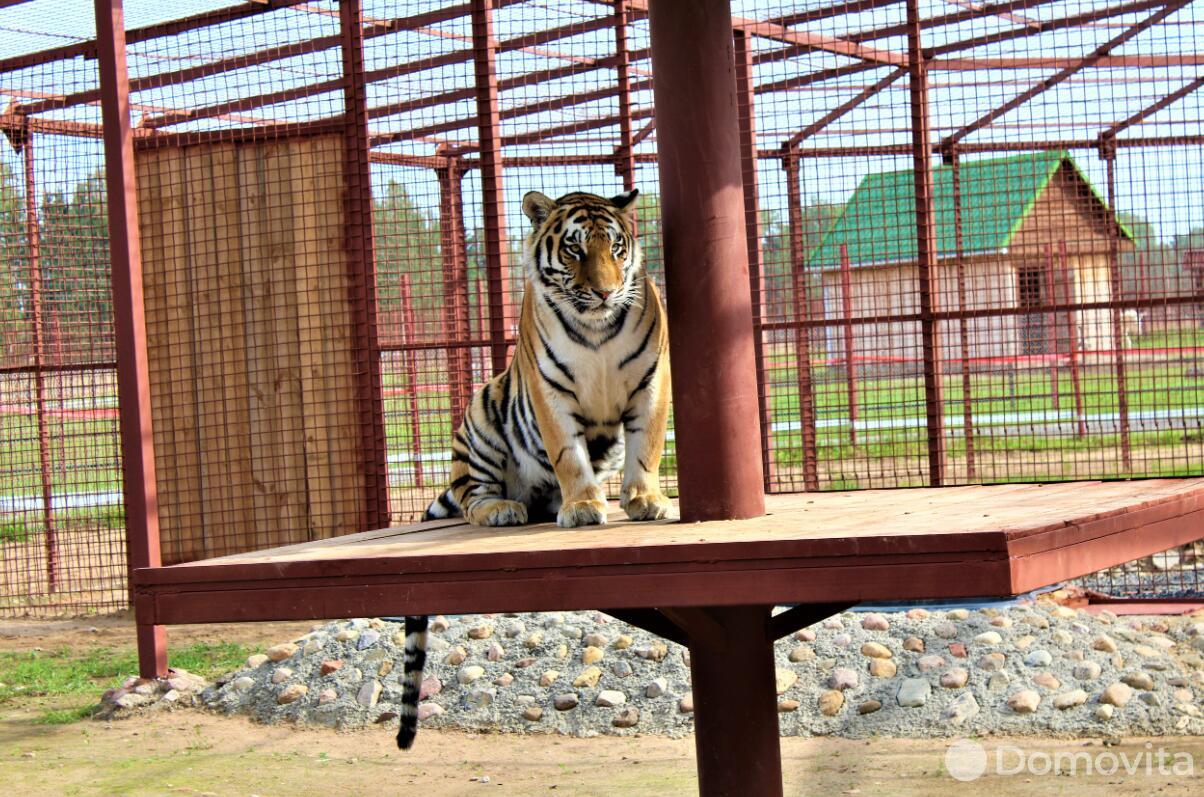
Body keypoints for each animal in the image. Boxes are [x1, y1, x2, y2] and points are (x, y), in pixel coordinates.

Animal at [397, 190, 674, 751]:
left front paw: (644, 500)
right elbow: (569, 456)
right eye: (574, 250)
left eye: (616, 248)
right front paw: (584, 507)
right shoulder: (549, 390)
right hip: (483, 412)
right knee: (471, 496)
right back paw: (505, 509)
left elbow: (647, 446)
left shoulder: (651, 379)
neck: (596, 329)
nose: (605, 291)